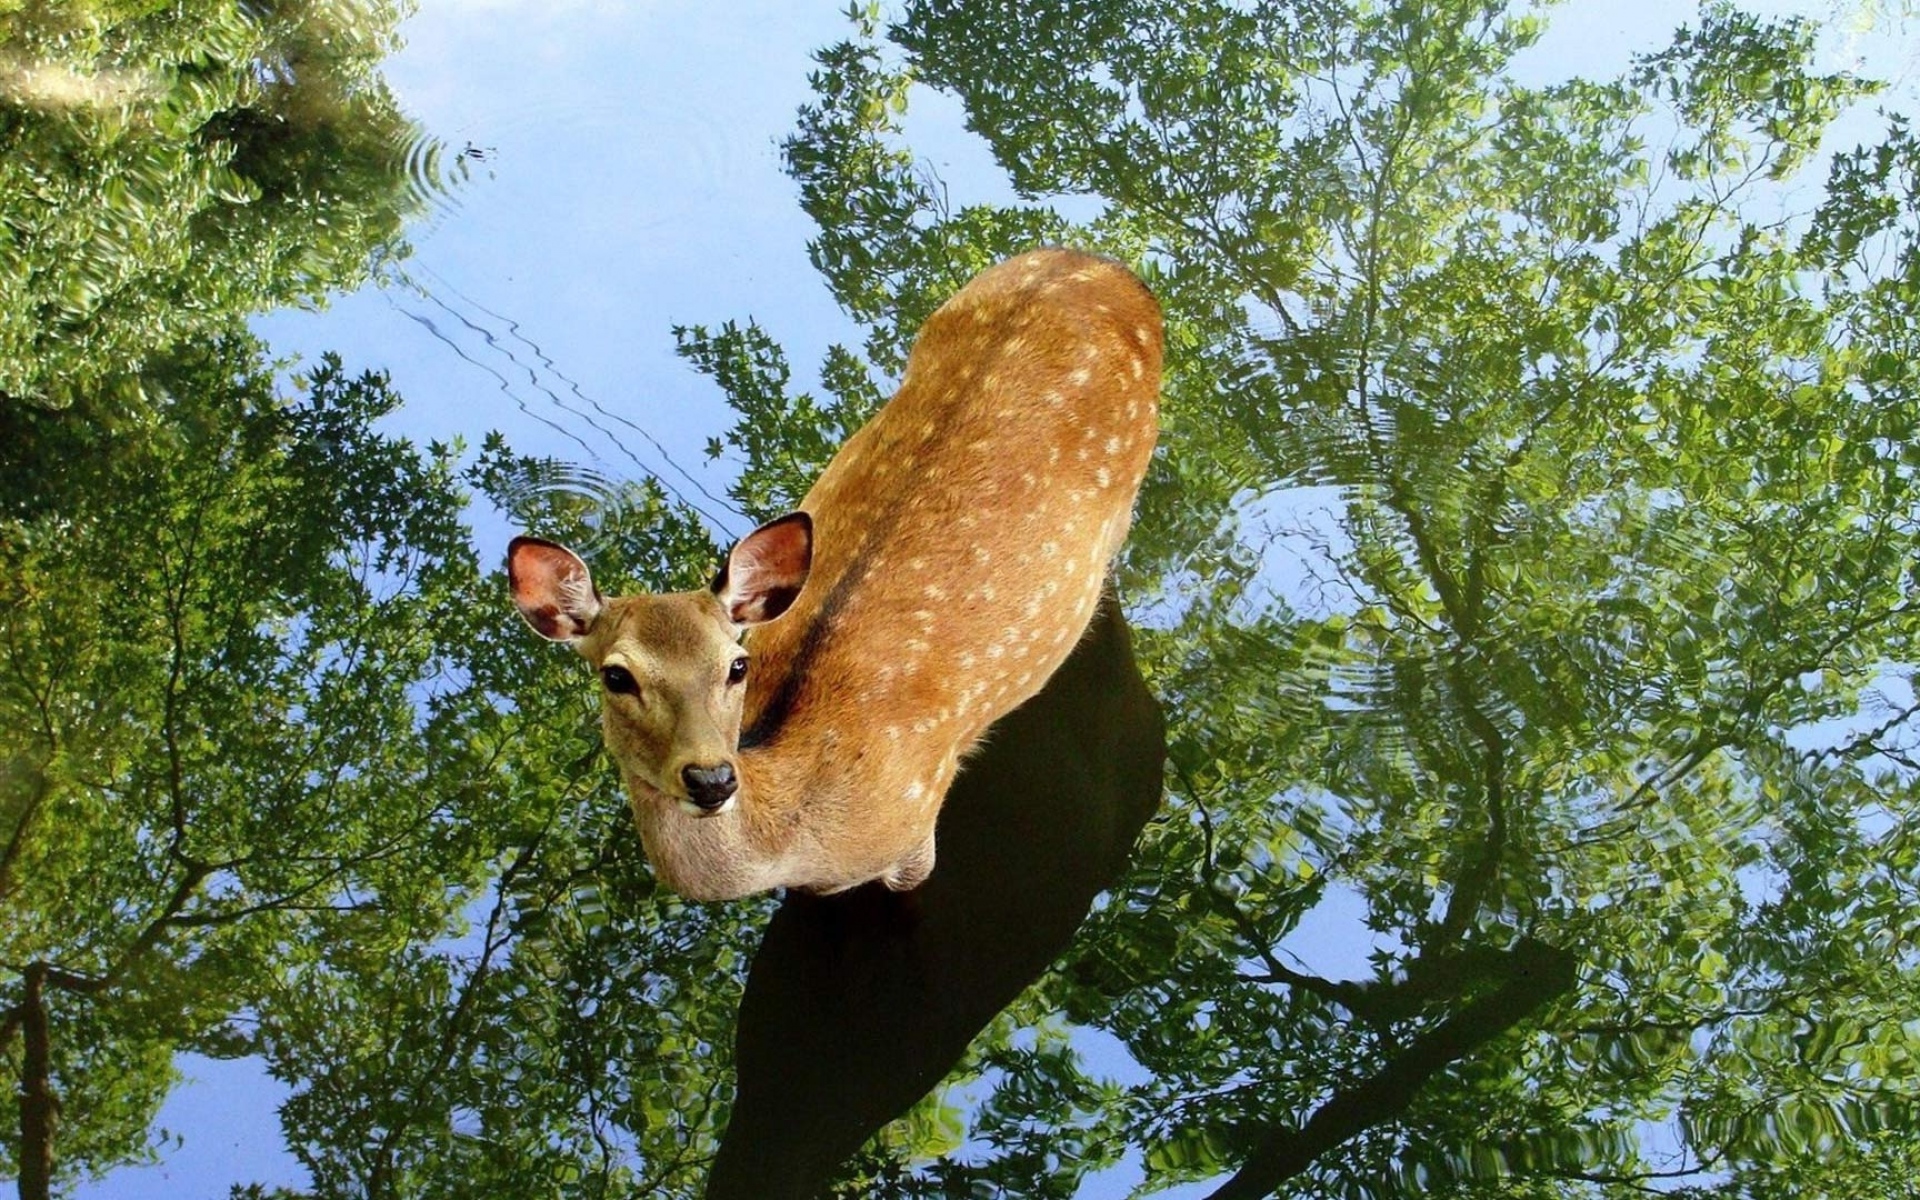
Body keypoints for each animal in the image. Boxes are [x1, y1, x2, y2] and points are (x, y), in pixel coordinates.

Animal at [508, 248, 1161, 900]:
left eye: (735, 664)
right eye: (617, 676)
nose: (711, 778)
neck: (802, 839)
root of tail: (1102, 264)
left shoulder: (913, 833)